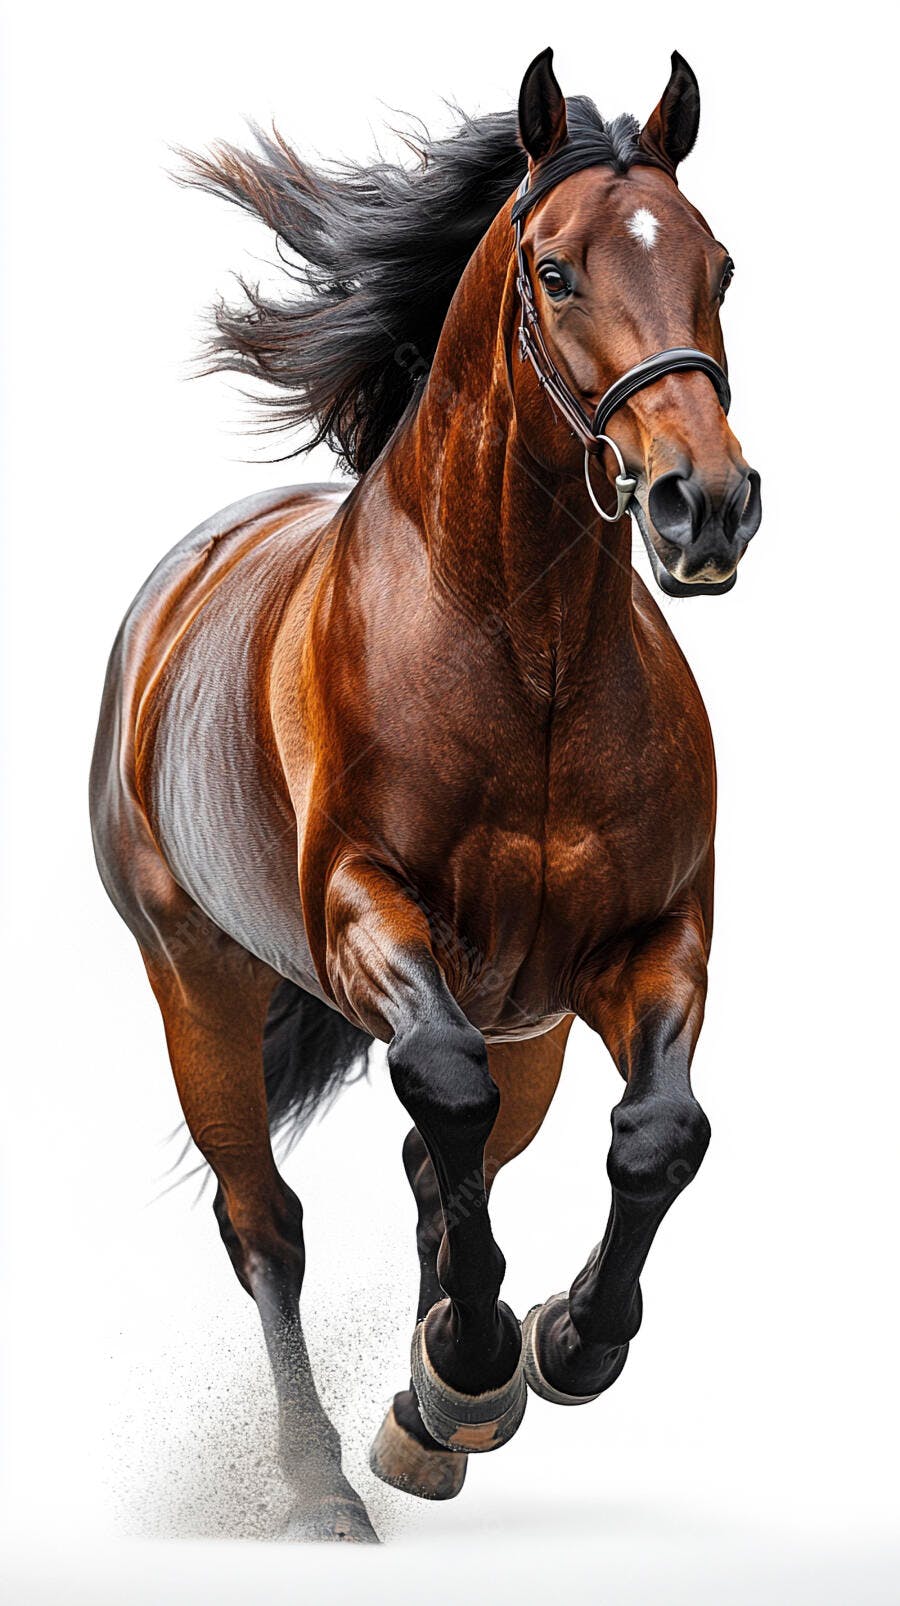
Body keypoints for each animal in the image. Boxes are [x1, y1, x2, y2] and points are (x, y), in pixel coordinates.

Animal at [90, 47, 761, 1542]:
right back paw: (328, 1483)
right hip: (197, 979)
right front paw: (475, 1354)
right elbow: (439, 1091)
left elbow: (658, 1133)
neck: (530, 663)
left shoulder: (643, 942)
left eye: (720, 265)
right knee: (267, 1217)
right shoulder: (365, 913)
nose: (706, 505)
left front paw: (558, 1343)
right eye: (558, 272)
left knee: (448, 1162)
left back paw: (437, 1417)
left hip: (533, 1022)